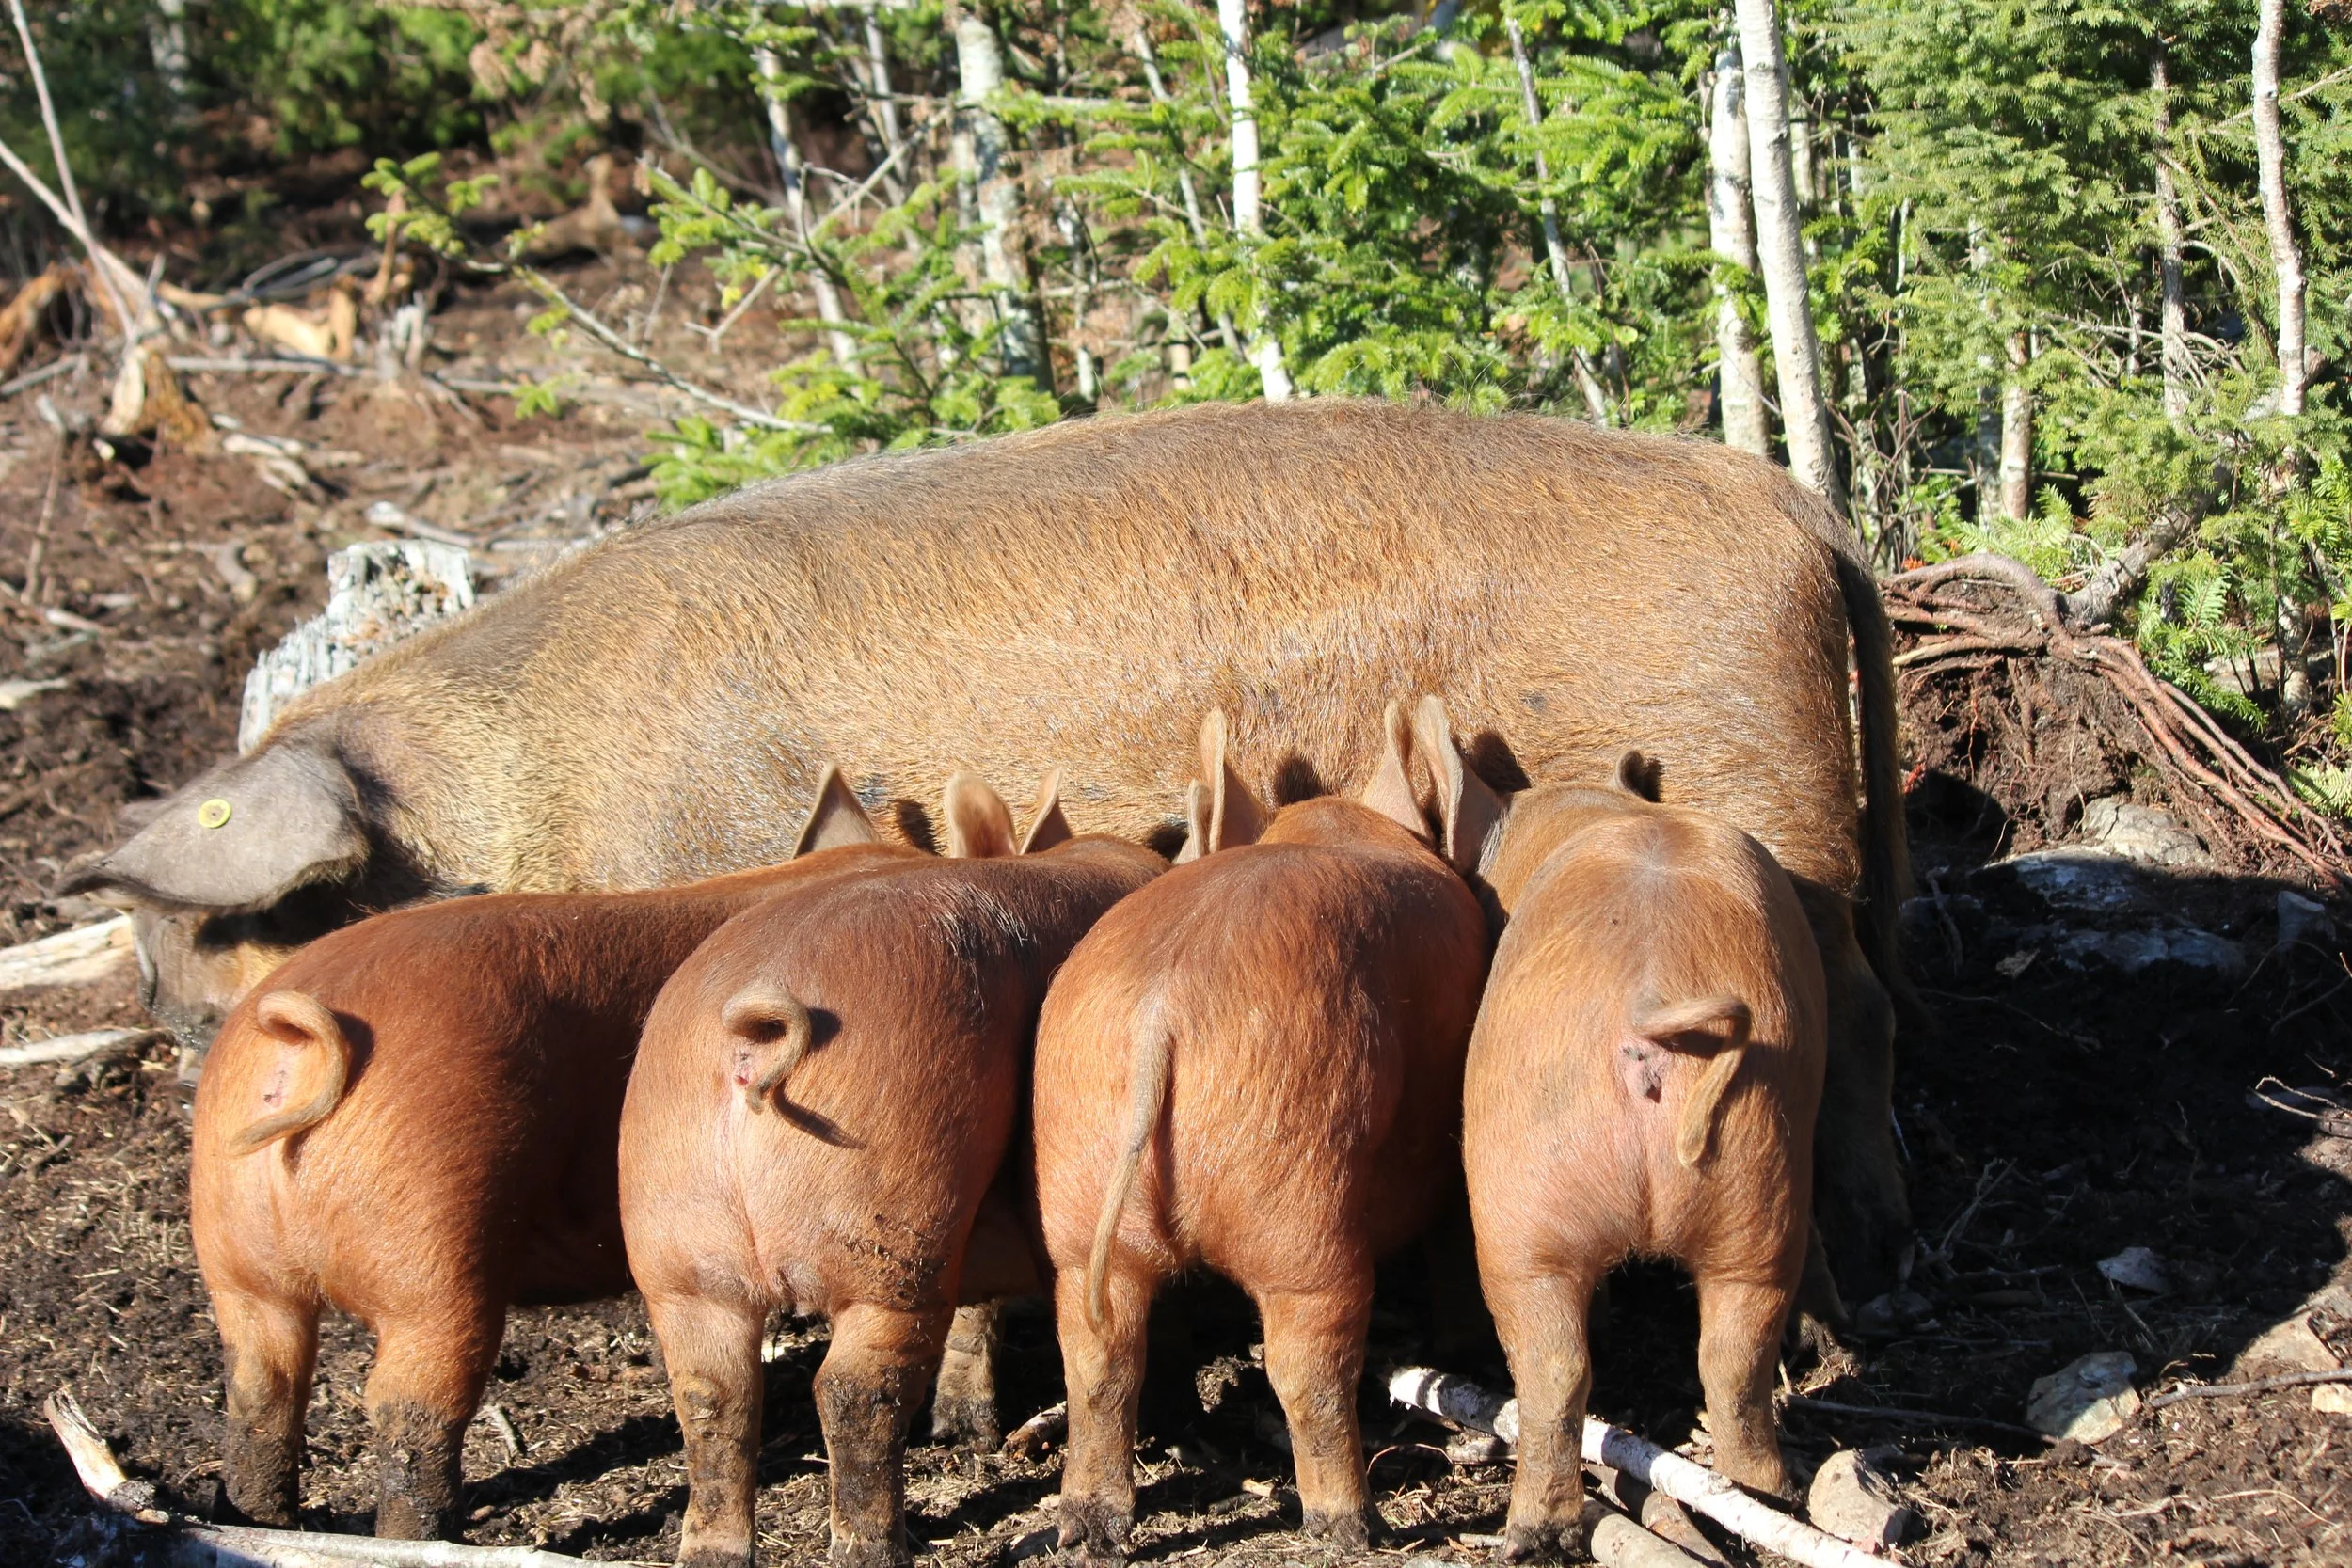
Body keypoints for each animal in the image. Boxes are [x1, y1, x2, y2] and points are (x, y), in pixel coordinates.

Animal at [188, 769, 903, 1539]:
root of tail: (300, 1038)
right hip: (428, 1251)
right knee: (407, 1408)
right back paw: (437, 1534)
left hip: (235, 1258)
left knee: (260, 1385)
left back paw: (260, 1520)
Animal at [618, 774, 1165, 1568]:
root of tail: (754, 1024)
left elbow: (979, 1309)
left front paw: (966, 1426)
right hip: (894, 1226)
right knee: (852, 1389)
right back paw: (881, 1547)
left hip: (676, 1241)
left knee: (710, 1392)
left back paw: (714, 1551)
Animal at [1032, 707, 1490, 1561]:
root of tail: (1161, 1008)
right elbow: (1454, 1246)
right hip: (1302, 1189)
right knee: (1308, 1367)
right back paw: (1354, 1526)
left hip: (1076, 1175)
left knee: (1097, 1354)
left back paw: (1089, 1525)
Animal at [1412, 698, 1826, 1562]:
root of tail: (1649, 1013)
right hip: (1761, 1176)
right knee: (1734, 1357)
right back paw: (1766, 1497)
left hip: (1521, 1205)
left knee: (1554, 1367)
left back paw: (1531, 1533)